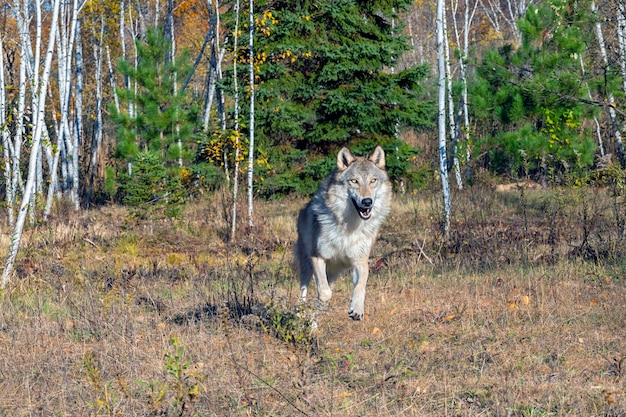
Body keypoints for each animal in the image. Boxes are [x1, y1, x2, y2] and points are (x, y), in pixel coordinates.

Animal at [294, 145, 390, 320]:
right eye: (354, 181)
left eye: (373, 180)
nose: (367, 201)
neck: (350, 226)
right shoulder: (317, 257)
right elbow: (325, 293)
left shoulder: (360, 262)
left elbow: (361, 286)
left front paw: (357, 309)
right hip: (307, 264)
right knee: (303, 290)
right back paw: (300, 311)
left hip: (334, 272)